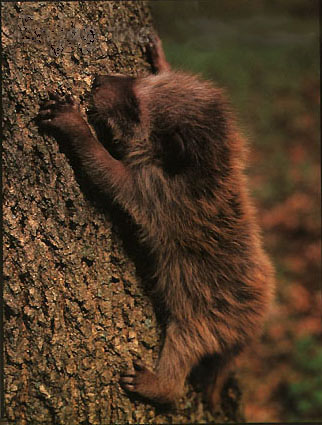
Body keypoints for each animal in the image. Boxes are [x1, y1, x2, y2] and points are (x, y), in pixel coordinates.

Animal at [37, 35, 274, 410]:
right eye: (141, 81)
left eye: (134, 107)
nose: (98, 80)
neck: (211, 162)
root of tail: (249, 332)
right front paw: (161, 59)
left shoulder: (158, 193)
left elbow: (109, 175)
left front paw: (76, 126)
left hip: (209, 316)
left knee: (186, 346)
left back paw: (161, 384)